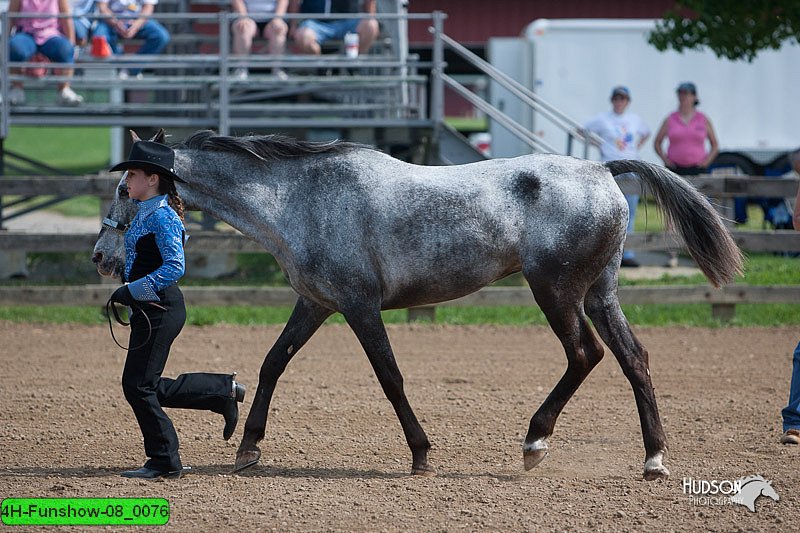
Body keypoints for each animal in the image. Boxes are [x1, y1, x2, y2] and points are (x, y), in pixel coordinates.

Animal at [94, 128, 744, 478]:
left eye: (126, 186)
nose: (102, 257)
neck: (299, 198)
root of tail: (602, 169)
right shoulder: (315, 303)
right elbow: (273, 363)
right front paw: (249, 447)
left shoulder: (358, 306)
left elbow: (390, 377)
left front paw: (421, 454)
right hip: (600, 292)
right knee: (635, 360)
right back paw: (653, 461)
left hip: (556, 292)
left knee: (585, 355)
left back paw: (534, 443)